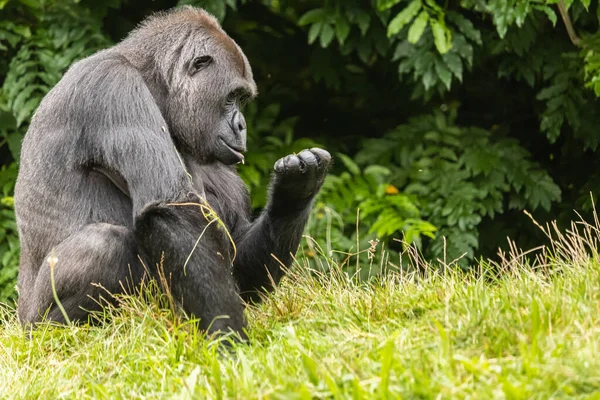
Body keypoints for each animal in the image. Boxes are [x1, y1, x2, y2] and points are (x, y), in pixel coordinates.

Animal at [12, 7, 332, 338]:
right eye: (232, 97)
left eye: (243, 99)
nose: (241, 126)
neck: (152, 80)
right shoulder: (113, 86)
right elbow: (171, 207)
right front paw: (227, 333)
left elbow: (235, 262)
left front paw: (295, 192)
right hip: (31, 321)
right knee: (105, 246)